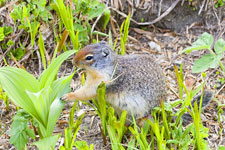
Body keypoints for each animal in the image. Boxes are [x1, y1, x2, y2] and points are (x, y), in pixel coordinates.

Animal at [62, 41, 213, 124]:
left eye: (89, 57)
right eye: (87, 45)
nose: (73, 61)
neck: (106, 67)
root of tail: (162, 103)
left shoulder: (101, 83)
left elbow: (85, 93)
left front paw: (68, 96)